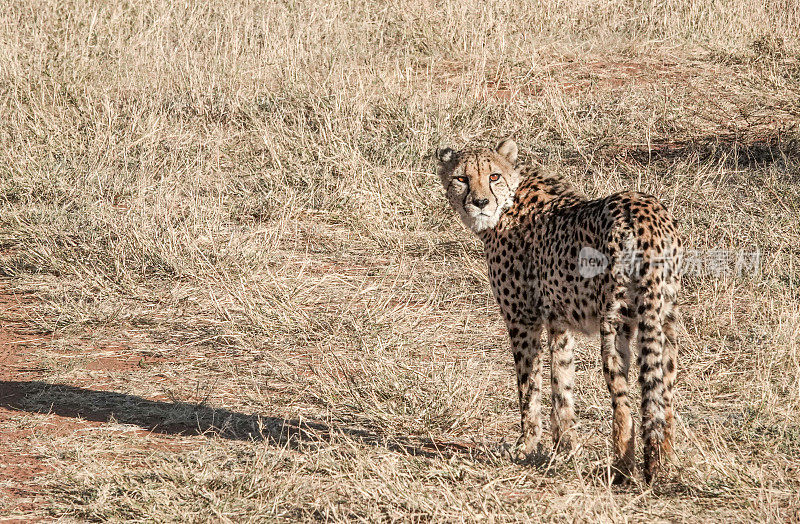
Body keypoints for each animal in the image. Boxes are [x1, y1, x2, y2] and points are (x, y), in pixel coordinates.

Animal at [438, 139, 680, 484]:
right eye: (461, 178)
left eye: (493, 176)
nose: (480, 202)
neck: (509, 203)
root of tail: (641, 210)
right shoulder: (559, 322)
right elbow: (561, 383)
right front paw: (566, 446)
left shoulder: (523, 319)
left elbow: (529, 385)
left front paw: (526, 445)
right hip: (665, 317)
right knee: (664, 395)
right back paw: (665, 463)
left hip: (615, 320)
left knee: (624, 404)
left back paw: (621, 469)